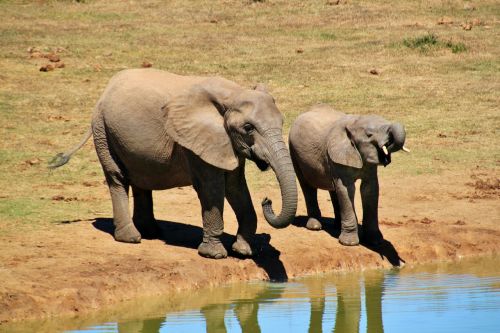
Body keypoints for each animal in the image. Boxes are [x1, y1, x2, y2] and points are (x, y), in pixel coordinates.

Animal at [49, 68, 296, 260]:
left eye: (282, 121)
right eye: (248, 128)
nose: (267, 199)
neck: (232, 92)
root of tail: (106, 90)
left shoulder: (226, 143)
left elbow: (236, 186)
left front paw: (243, 251)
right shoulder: (193, 142)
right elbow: (212, 187)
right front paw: (214, 255)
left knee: (140, 179)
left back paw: (152, 233)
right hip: (103, 129)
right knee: (117, 177)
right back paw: (131, 238)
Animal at [288, 105, 408, 245]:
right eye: (369, 135)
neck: (354, 122)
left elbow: (370, 189)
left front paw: (375, 240)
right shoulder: (338, 155)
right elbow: (347, 189)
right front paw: (349, 243)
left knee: (333, 188)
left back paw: (337, 226)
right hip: (294, 151)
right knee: (307, 185)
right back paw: (315, 226)